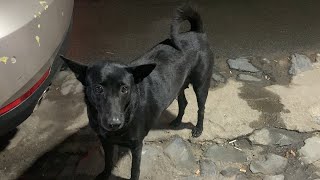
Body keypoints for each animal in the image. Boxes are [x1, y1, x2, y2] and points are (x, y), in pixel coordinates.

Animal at [61, 4, 214, 180]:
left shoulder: (136, 146)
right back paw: (177, 121)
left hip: (201, 85)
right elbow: (108, 161)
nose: (114, 123)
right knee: (183, 102)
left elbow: (135, 170)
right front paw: (105, 174)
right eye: (98, 88)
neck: (128, 111)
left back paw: (198, 129)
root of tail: (196, 32)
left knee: (201, 108)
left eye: (125, 89)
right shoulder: (105, 141)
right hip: (179, 85)